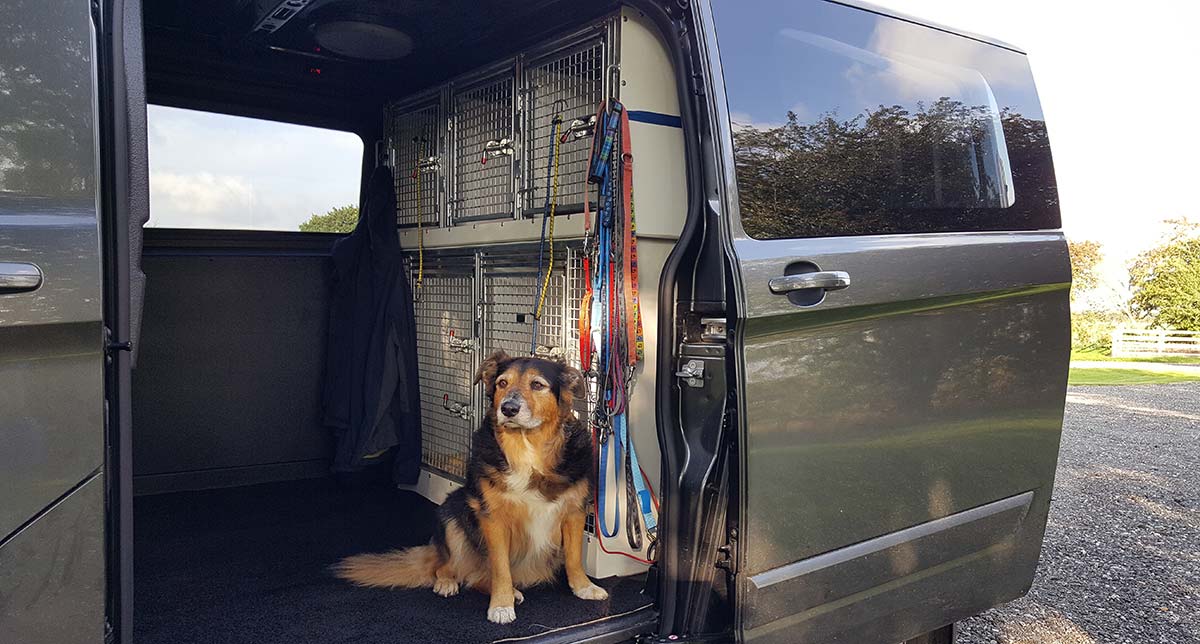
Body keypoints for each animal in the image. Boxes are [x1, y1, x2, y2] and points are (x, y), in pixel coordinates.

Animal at [333, 345, 609, 623]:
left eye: (537, 385)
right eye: (502, 383)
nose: (508, 409)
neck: (528, 450)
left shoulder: (573, 512)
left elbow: (574, 557)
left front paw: (583, 587)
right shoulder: (493, 518)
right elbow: (500, 567)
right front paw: (501, 605)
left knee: (477, 578)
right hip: (452, 513)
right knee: (451, 568)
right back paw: (452, 583)